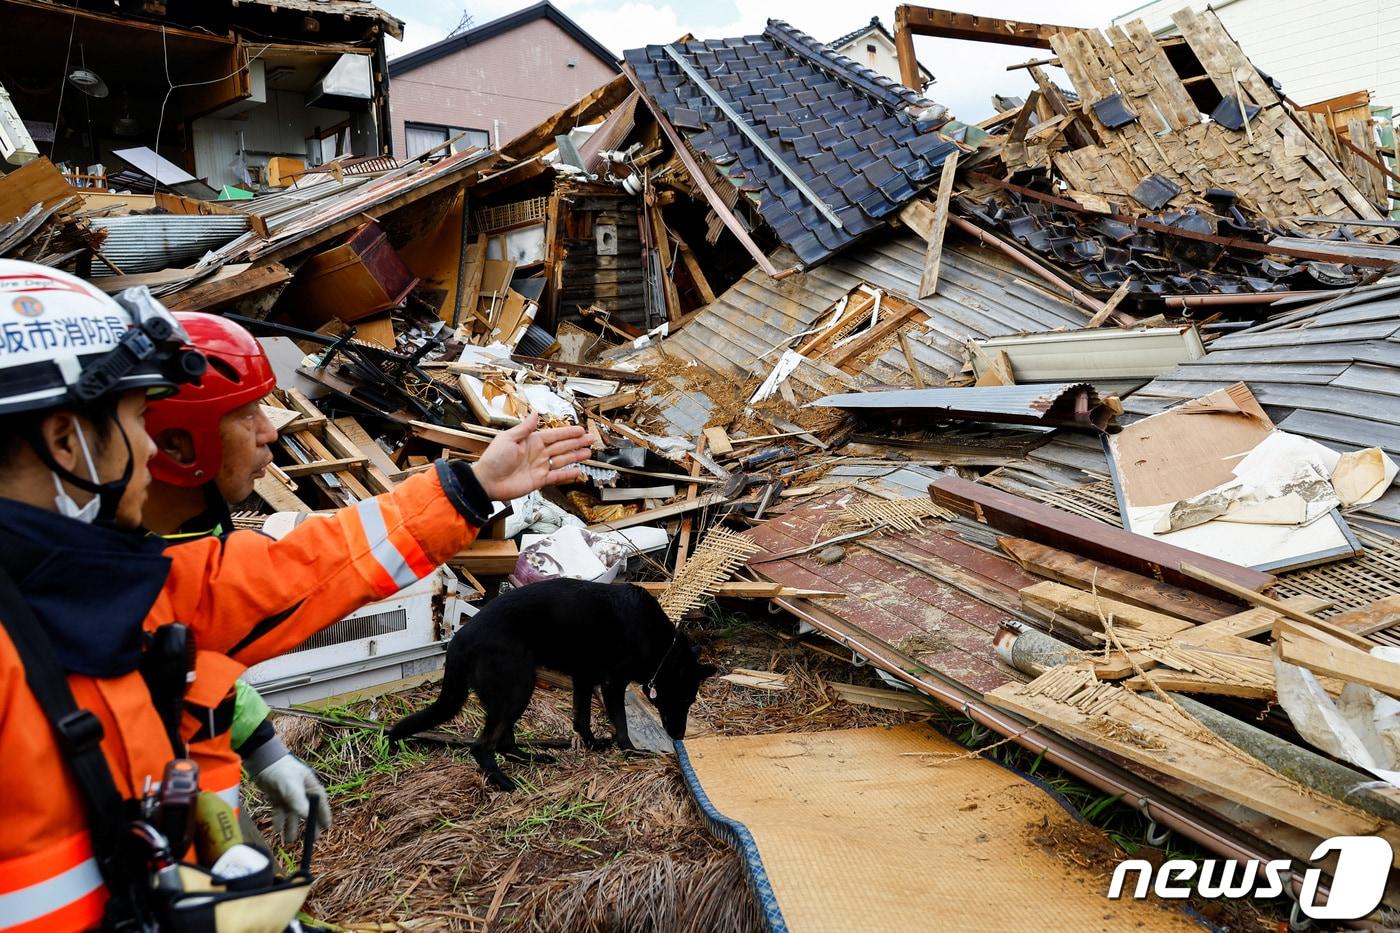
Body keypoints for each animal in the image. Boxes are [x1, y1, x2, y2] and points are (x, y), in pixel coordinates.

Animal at [386, 577, 716, 790]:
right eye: (684, 699)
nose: (679, 736)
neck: (662, 647)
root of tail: (460, 639)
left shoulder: (584, 678)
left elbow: (581, 719)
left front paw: (593, 744)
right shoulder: (613, 684)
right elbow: (620, 722)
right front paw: (631, 750)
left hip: (512, 692)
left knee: (503, 741)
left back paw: (530, 758)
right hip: (517, 688)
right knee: (483, 746)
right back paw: (503, 781)